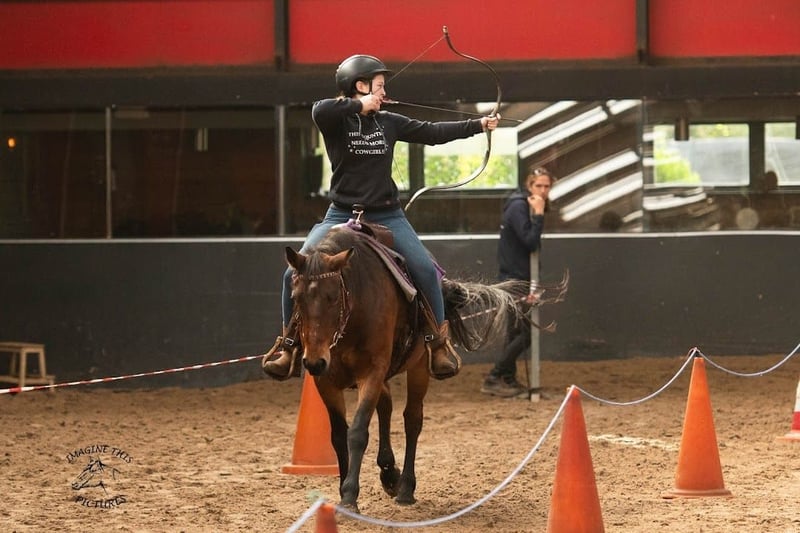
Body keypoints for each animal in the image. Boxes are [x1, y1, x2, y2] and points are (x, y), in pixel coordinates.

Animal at [284, 223, 563, 512]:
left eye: (333, 297)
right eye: (295, 297)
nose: (314, 360)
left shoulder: (372, 372)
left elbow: (358, 432)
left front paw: (350, 496)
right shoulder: (325, 380)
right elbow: (339, 435)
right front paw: (343, 492)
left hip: (418, 367)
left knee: (412, 420)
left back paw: (405, 487)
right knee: (386, 408)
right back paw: (389, 473)